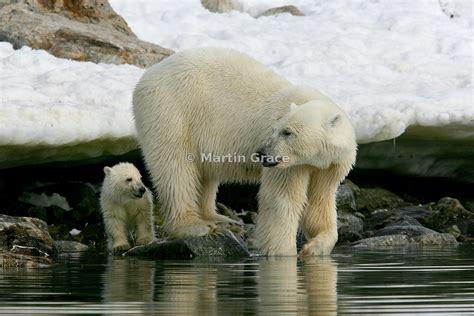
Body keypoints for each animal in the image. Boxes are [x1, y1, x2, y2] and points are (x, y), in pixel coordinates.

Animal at [133, 47, 356, 256]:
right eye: (275, 129)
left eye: (287, 132)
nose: (262, 153)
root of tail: (147, 75)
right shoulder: (289, 166)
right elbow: (282, 200)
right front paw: (284, 253)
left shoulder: (329, 167)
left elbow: (318, 202)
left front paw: (315, 247)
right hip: (171, 112)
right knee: (176, 169)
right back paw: (194, 225)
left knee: (204, 173)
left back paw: (222, 220)